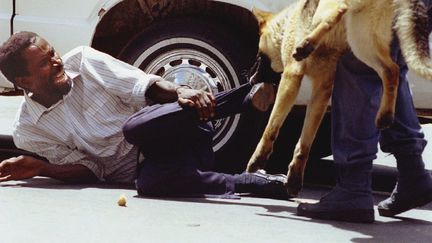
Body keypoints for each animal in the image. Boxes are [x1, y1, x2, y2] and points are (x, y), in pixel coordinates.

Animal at [245, 0, 430, 197]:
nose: (250, 79)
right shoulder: (321, 91)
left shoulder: (291, 77)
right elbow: (305, 142)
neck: (286, 23)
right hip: (362, 44)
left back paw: (307, 44)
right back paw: (385, 115)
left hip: (344, 25)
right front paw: (294, 177)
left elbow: (271, 126)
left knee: (339, 9)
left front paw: (257, 159)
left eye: (258, 54)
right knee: (392, 71)